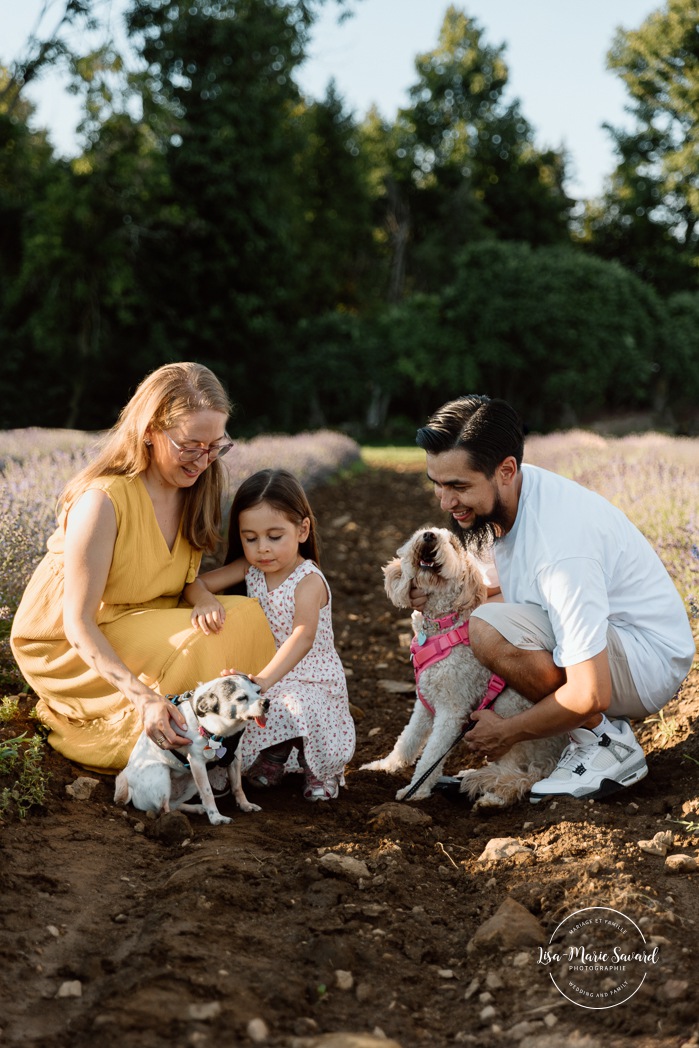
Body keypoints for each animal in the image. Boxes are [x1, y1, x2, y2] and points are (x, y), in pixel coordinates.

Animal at [114, 670, 270, 825]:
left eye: (258, 691)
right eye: (241, 698)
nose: (266, 702)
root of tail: (126, 782)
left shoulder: (234, 758)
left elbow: (237, 786)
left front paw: (245, 804)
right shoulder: (197, 763)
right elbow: (207, 793)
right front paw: (216, 817)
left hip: (191, 781)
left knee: (173, 804)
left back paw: (194, 808)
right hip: (161, 772)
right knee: (163, 809)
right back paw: (174, 820)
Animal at [364, 524, 565, 809]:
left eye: (453, 544)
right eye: (424, 531)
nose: (429, 536)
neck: (442, 627)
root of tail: (554, 756)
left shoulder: (451, 711)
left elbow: (431, 755)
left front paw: (415, 790)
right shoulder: (423, 703)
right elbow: (407, 739)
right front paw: (384, 766)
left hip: (509, 711)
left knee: (520, 774)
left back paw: (493, 798)